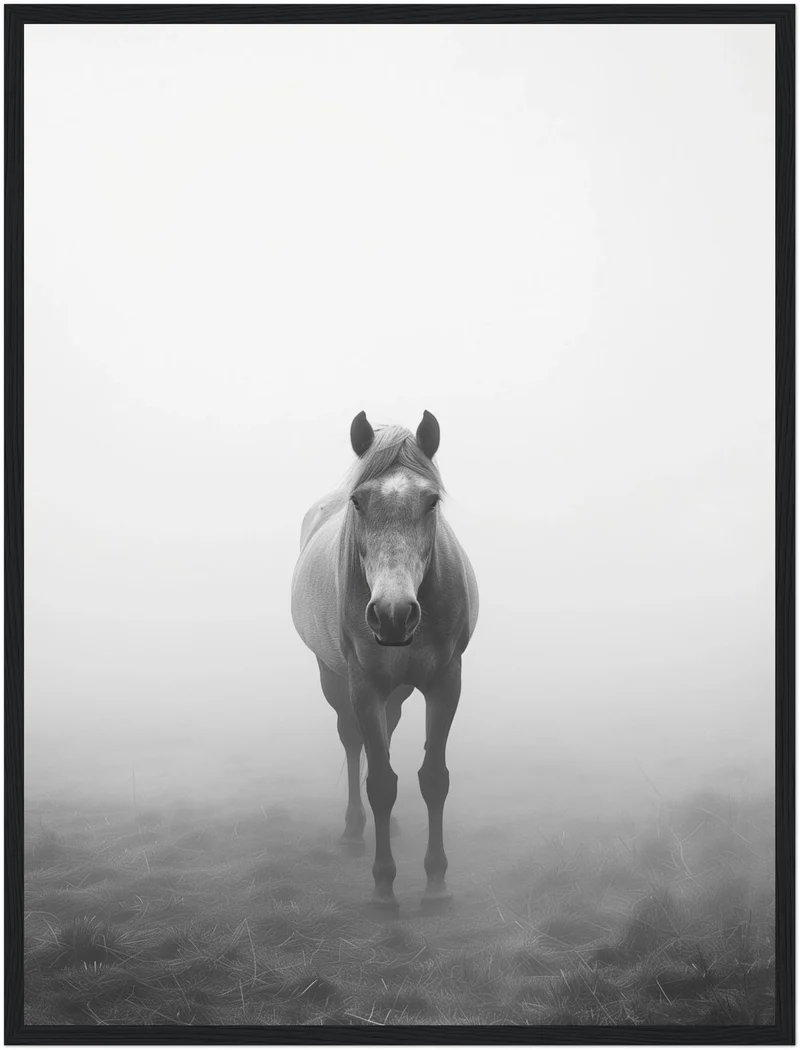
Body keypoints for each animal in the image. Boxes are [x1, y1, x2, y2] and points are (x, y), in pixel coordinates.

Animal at [291, 411, 479, 910]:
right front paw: (383, 886)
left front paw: (436, 883)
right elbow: (378, 782)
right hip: (333, 679)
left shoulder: (445, 682)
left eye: (432, 501)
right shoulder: (364, 685)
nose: (393, 615)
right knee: (353, 743)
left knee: (388, 735)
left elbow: (433, 779)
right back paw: (354, 832)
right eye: (358, 501)